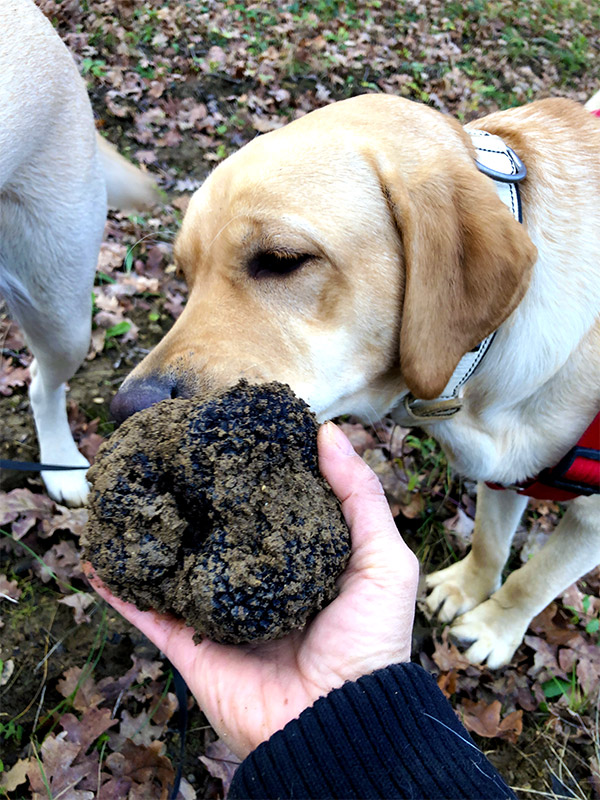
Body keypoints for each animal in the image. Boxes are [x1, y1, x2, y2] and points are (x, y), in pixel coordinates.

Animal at [112, 90, 600, 664]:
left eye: (283, 259)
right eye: (185, 275)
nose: (126, 408)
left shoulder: (589, 524)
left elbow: (534, 579)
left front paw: (494, 627)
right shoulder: (502, 471)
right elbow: (489, 542)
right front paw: (466, 588)